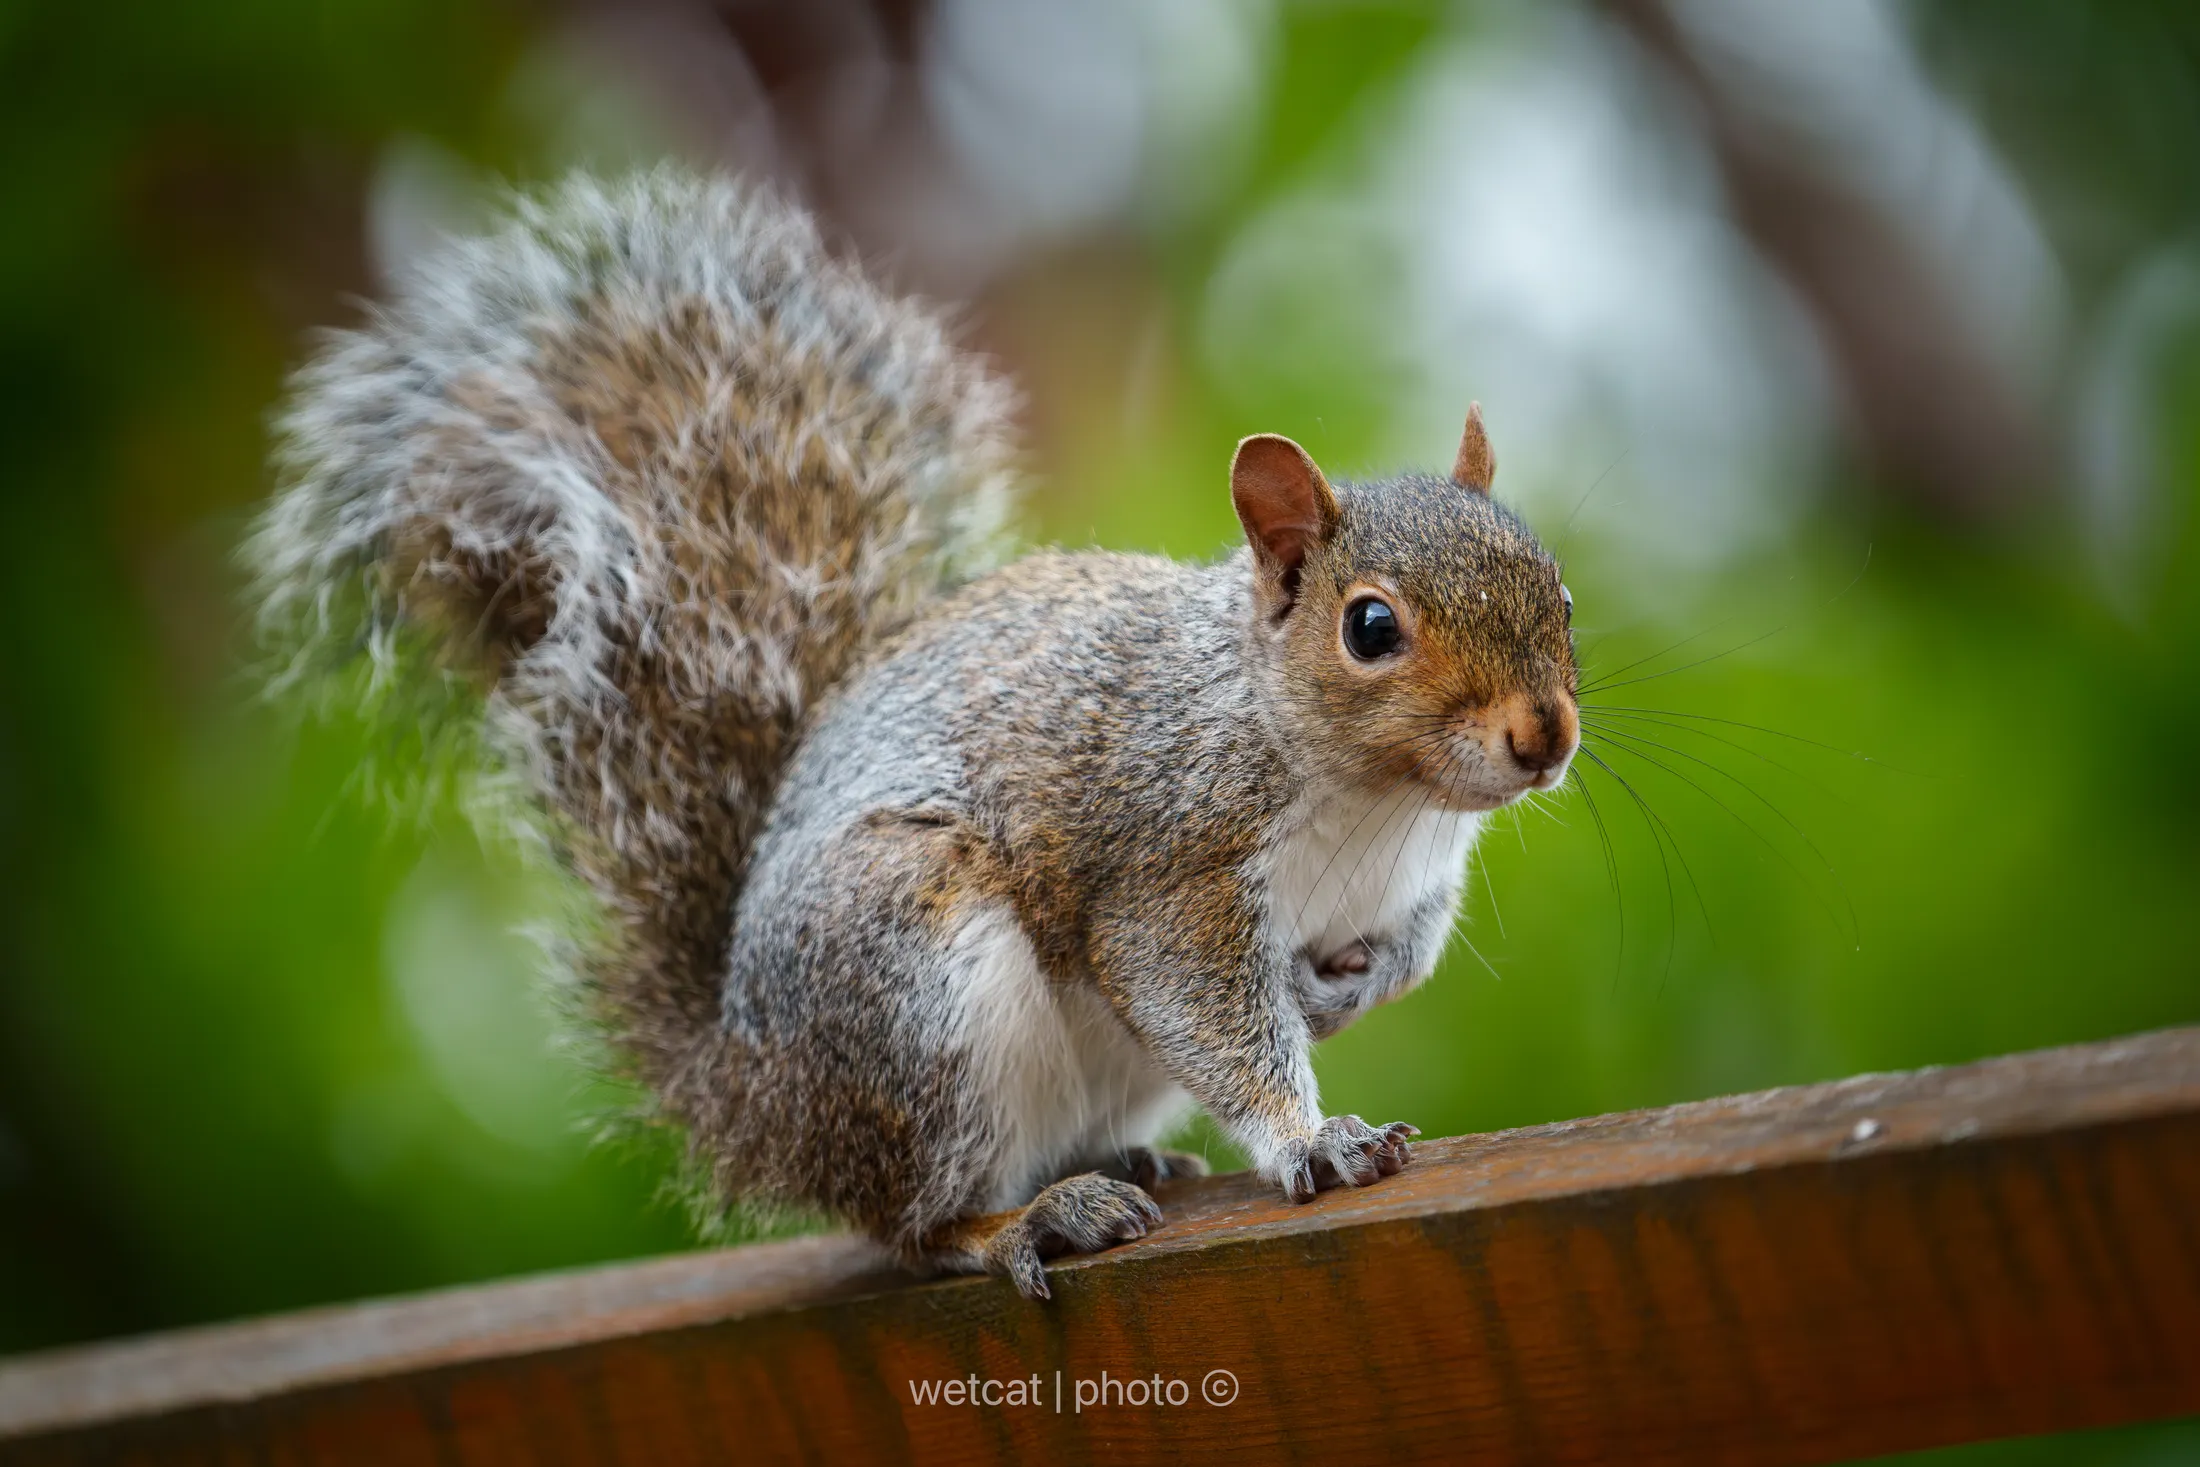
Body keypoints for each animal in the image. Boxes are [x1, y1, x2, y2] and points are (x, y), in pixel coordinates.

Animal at [248, 168, 1580, 1300]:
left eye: (1557, 593)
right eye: (1370, 627)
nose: (1545, 736)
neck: (1377, 801)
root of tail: (751, 1099)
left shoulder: (1414, 884)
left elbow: (1409, 953)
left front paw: (1347, 992)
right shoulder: (1169, 865)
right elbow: (1206, 1009)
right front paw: (1313, 1138)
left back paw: (1125, 1164)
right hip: (915, 987)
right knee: (911, 1225)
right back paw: (1026, 1220)